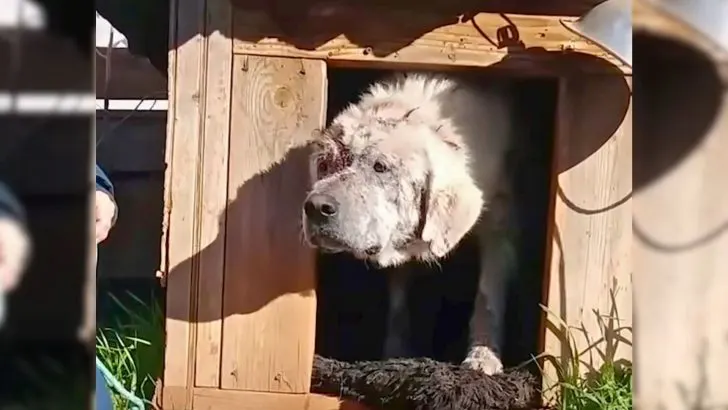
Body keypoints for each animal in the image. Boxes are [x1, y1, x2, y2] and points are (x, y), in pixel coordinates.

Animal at [302, 72, 516, 374]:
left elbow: (487, 296)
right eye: (325, 165)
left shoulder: (500, 225)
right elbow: (399, 302)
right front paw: (395, 354)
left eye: (380, 166)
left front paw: (482, 360)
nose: (316, 207)